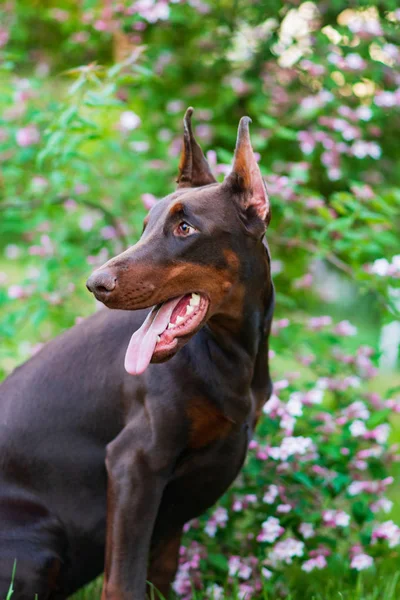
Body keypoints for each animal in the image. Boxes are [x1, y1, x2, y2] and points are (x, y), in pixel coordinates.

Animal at [0, 109, 274, 600]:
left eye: (185, 228)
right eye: (146, 226)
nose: (96, 284)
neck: (229, 353)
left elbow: (158, 575)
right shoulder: (136, 462)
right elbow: (124, 581)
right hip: (37, 547)